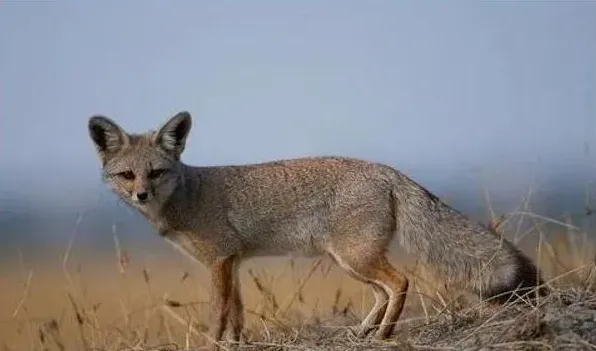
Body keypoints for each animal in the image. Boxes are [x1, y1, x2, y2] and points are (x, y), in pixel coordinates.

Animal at [86, 112, 548, 350]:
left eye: (156, 173)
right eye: (127, 175)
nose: (141, 195)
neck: (186, 194)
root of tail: (386, 169)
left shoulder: (219, 261)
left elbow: (218, 313)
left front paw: (213, 344)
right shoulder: (234, 263)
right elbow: (236, 312)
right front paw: (235, 343)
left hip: (355, 257)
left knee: (400, 283)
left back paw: (384, 334)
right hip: (350, 261)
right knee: (383, 291)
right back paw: (363, 332)